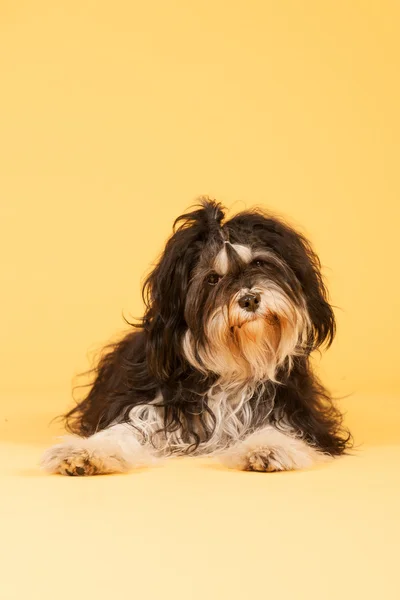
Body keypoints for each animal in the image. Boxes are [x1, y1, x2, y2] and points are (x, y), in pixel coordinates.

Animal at [42, 199, 352, 476]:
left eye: (260, 263)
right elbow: (120, 431)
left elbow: (280, 428)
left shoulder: (295, 411)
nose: (250, 300)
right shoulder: (144, 405)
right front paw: (84, 453)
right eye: (212, 279)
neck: (233, 368)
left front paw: (266, 448)